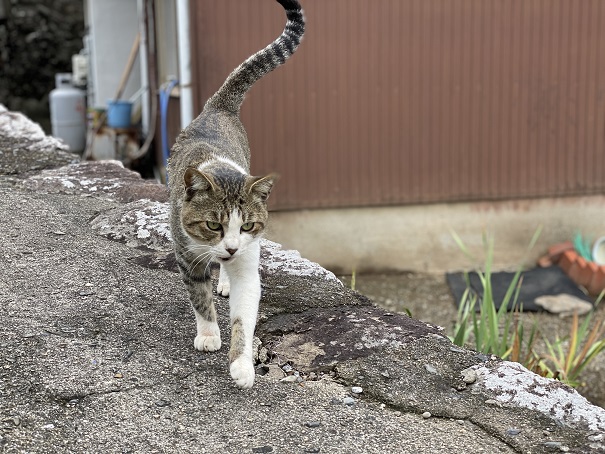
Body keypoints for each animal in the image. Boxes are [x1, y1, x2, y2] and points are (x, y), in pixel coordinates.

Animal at [166, 1, 304, 388]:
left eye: (247, 226)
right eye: (213, 225)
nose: (228, 247)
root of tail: (219, 107)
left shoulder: (247, 260)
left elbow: (244, 315)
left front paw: (242, 365)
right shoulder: (187, 253)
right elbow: (199, 296)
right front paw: (209, 334)